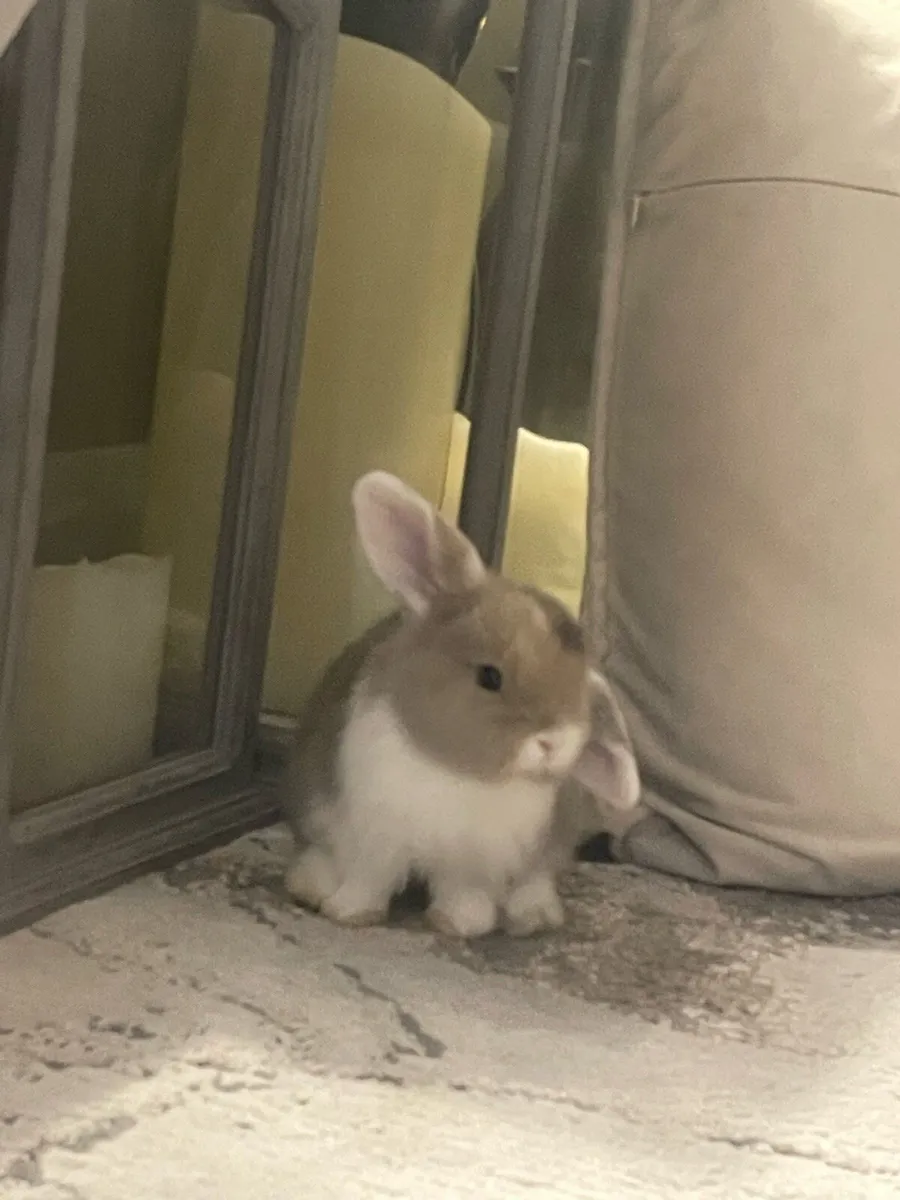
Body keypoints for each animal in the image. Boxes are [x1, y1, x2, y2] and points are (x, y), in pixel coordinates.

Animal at [281, 470, 640, 938]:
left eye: (581, 690)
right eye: (490, 676)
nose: (555, 741)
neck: (459, 773)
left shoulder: (476, 863)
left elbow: (465, 893)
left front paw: (460, 925)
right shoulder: (372, 837)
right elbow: (368, 879)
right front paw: (349, 914)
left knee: (537, 878)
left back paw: (535, 916)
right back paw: (309, 886)